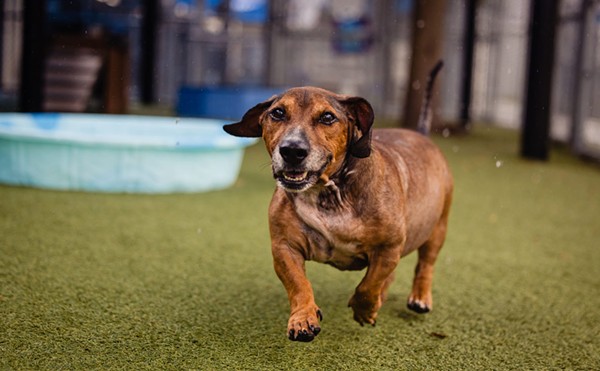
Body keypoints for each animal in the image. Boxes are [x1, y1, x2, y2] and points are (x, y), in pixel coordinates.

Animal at [224, 61, 450, 342]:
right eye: (277, 113)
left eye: (327, 117)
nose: (292, 150)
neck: (328, 192)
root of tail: (423, 136)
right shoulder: (284, 248)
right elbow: (299, 285)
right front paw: (303, 317)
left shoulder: (388, 248)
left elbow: (368, 285)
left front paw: (365, 309)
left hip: (437, 229)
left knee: (425, 265)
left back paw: (419, 297)